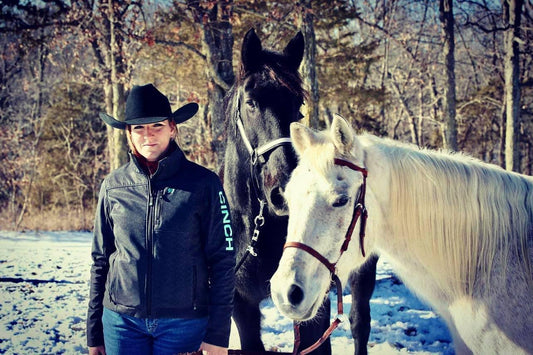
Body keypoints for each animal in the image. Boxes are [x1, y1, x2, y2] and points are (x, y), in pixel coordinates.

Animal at [222, 29, 376, 354]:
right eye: (251, 103)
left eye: (299, 106)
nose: (282, 192)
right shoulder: (242, 305)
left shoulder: (313, 301)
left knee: (360, 322)